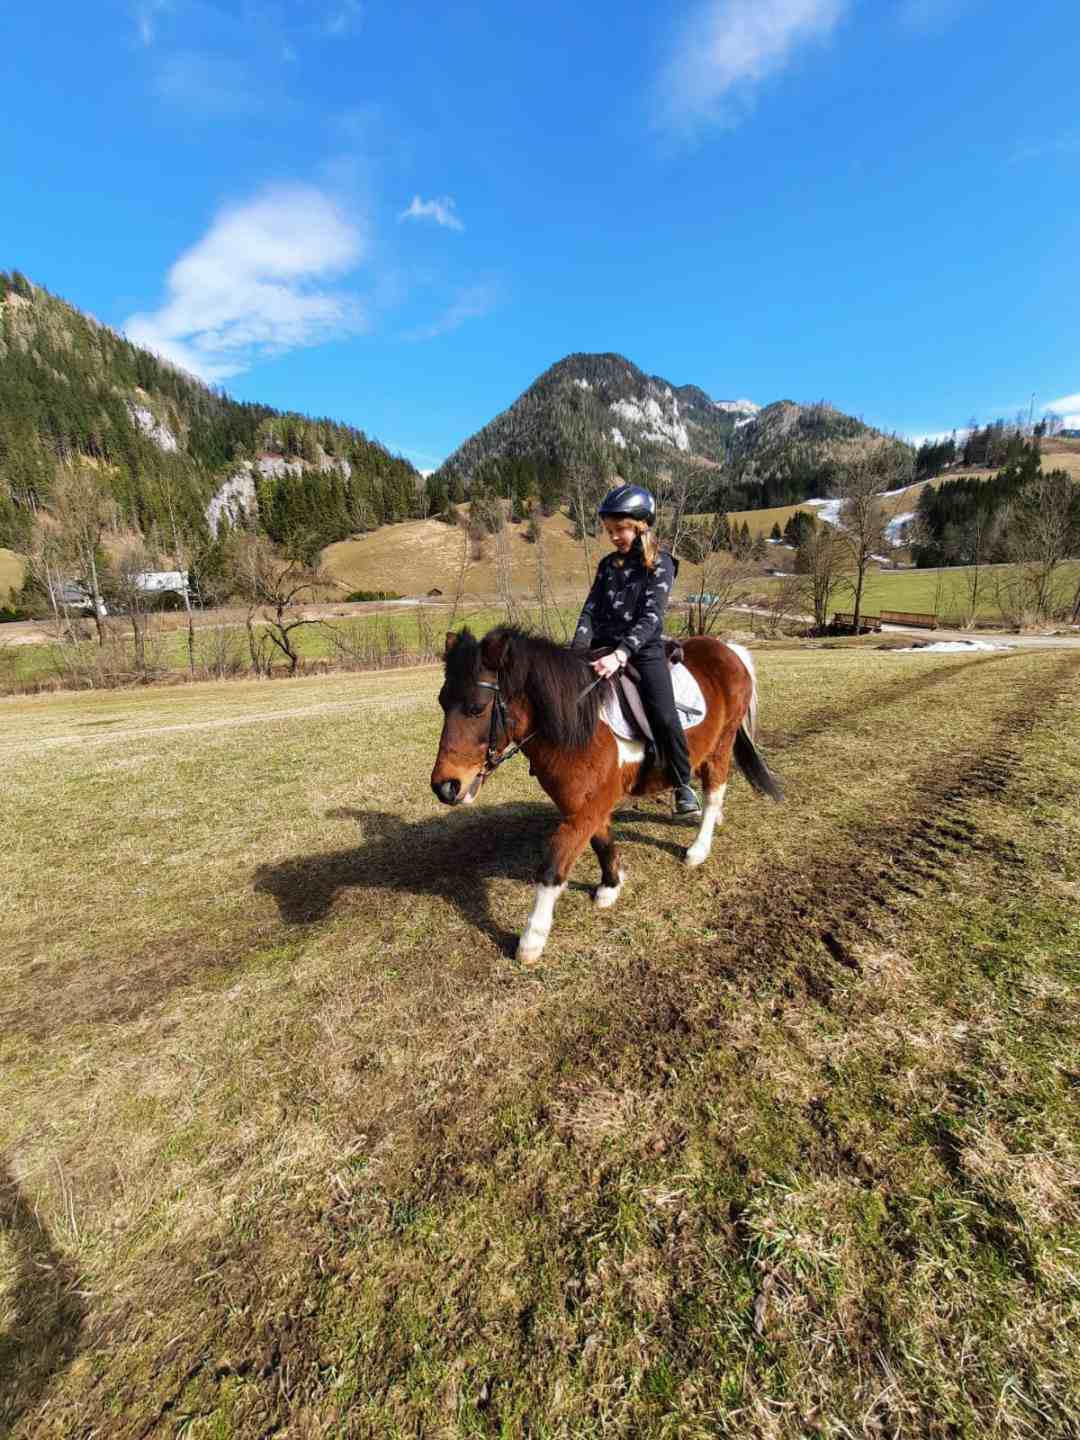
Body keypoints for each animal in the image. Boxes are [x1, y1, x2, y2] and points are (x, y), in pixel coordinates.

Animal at [426, 624, 783, 961]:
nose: (445, 786)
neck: (576, 724)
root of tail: (730, 650)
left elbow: (554, 865)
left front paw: (531, 940)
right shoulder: (584, 804)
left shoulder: (586, 807)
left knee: (713, 792)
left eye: (476, 708)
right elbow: (601, 841)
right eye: (442, 702)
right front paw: (611, 885)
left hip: (722, 743)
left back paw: (698, 848)